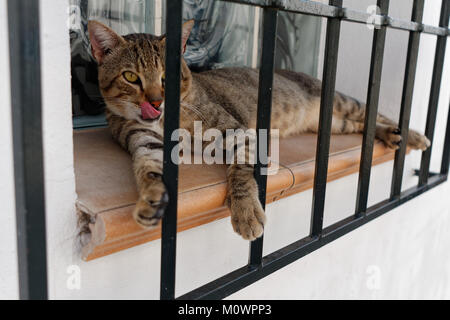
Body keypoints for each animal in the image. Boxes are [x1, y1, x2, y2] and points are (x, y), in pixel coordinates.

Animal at [87, 20, 428, 240]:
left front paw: (246, 211)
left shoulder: (236, 131)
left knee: (374, 112)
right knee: (361, 126)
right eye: (131, 77)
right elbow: (149, 170)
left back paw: (412, 135)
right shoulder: (144, 141)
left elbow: (240, 171)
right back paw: (390, 134)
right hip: (332, 122)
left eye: (166, 77)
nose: (156, 102)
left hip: (341, 102)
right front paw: (152, 198)